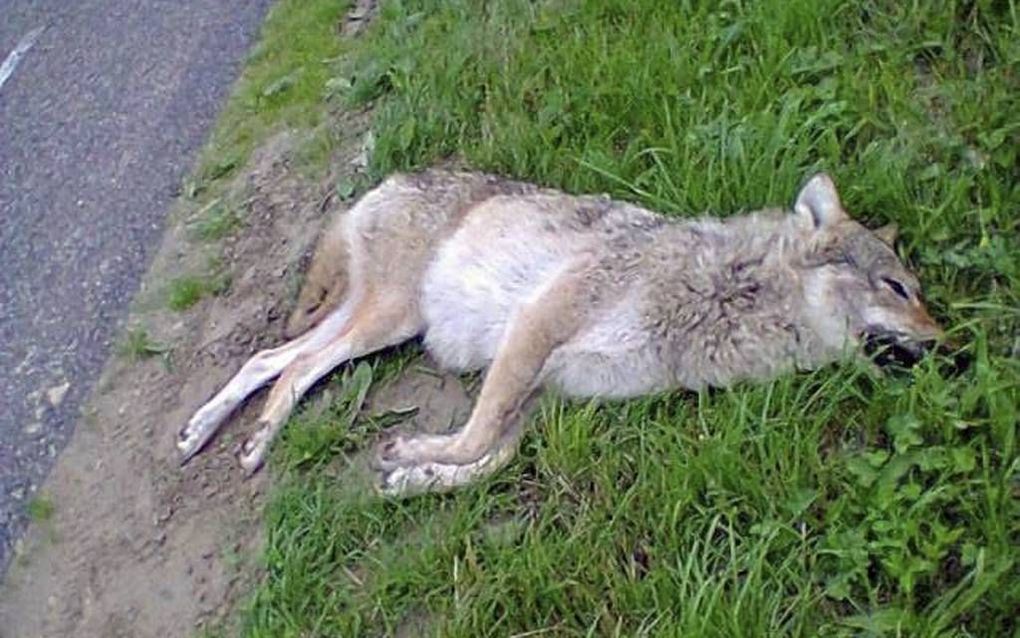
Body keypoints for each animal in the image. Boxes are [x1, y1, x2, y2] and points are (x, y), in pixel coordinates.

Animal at [175, 169, 938, 492]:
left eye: (923, 298)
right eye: (898, 289)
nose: (947, 345)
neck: (725, 296)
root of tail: (389, 178)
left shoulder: (550, 395)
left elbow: (492, 460)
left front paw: (416, 475)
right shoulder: (535, 327)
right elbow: (476, 437)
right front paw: (411, 451)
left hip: (375, 320)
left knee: (269, 357)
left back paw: (203, 434)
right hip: (387, 320)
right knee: (296, 368)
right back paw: (253, 441)